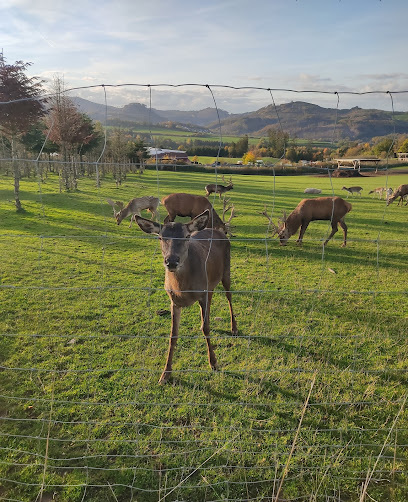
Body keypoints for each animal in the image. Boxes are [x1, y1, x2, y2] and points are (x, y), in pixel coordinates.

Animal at [135, 209, 237, 384]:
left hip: (226, 272)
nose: (171, 261)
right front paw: (165, 373)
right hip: (210, 284)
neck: (182, 289)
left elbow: (206, 328)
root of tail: (220, 231)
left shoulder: (202, 293)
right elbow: (173, 335)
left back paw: (234, 327)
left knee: (229, 297)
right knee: (212, 297)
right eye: (160, 237)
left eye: (186, 236)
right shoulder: (173, 301)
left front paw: (214, 363)